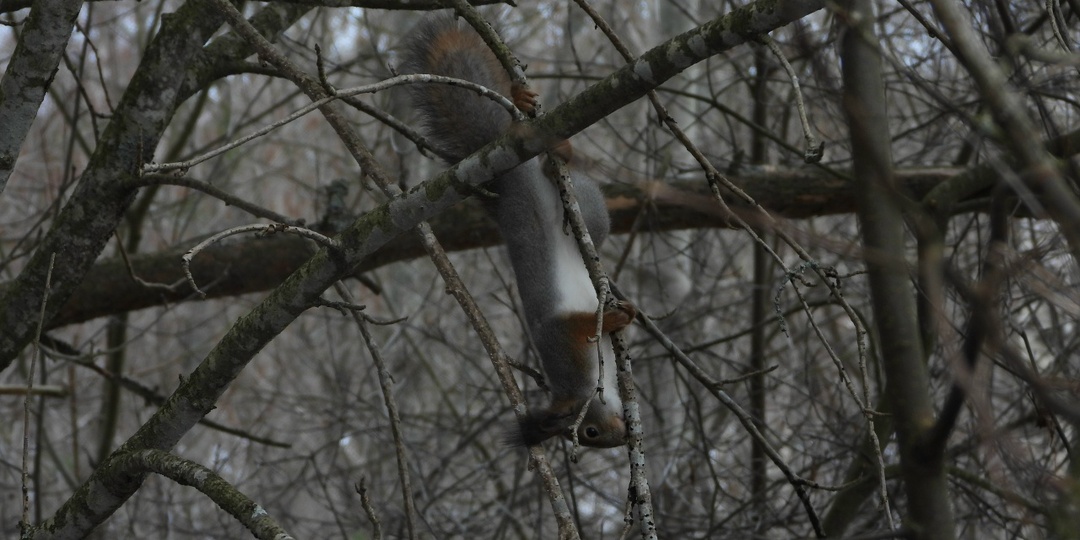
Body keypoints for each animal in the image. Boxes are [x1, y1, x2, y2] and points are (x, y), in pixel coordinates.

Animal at [400, 13, 635, 448]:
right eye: (591, 434)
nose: (623, 437)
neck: (579, 386)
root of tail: (508, 187)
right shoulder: (564, 343)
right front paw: (620, 316)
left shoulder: (559, 339)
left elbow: (579, 324)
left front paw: (615, 319)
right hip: (592, 208)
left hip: (585, 208)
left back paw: (546, 143)